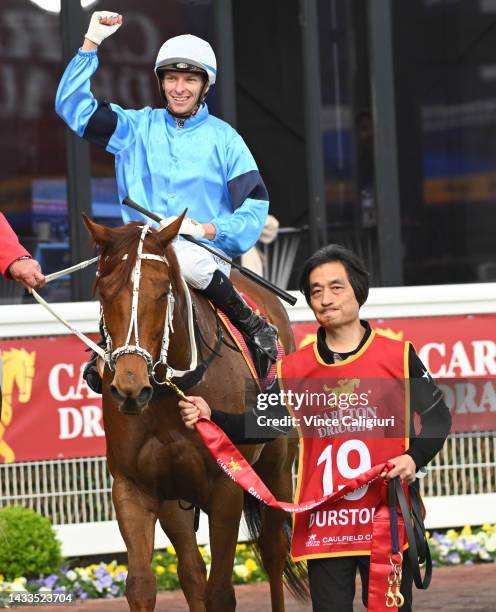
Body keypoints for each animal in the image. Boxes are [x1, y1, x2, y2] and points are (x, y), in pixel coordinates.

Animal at [83, 213, 308, 608]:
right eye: (105, 292)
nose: (129, 387)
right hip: (176, 497)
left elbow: (220, 593)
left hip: (276, 467)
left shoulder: (226, 487)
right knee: (190, 570)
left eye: (162, 292)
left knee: (274, 550)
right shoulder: (132, 487)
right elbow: (142, 585)